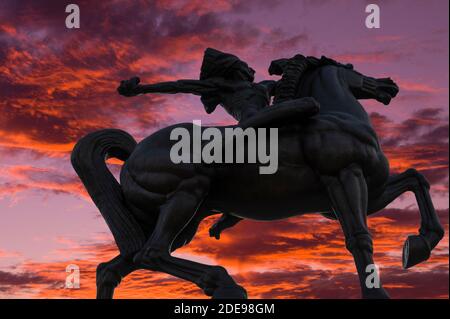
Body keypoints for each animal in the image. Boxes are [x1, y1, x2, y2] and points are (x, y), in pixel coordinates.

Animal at [71, 62, 442, 300]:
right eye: (352, 69)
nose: (388, 84)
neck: (338, 117)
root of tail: (135, 152)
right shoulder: (345, 177)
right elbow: (359, 238)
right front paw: (378, 292)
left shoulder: (369, 192)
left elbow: (416, 179)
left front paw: (418, 246)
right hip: (187, 195)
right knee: (150, 253)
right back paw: (225, 284)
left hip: (176, 221)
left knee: (116, 266)